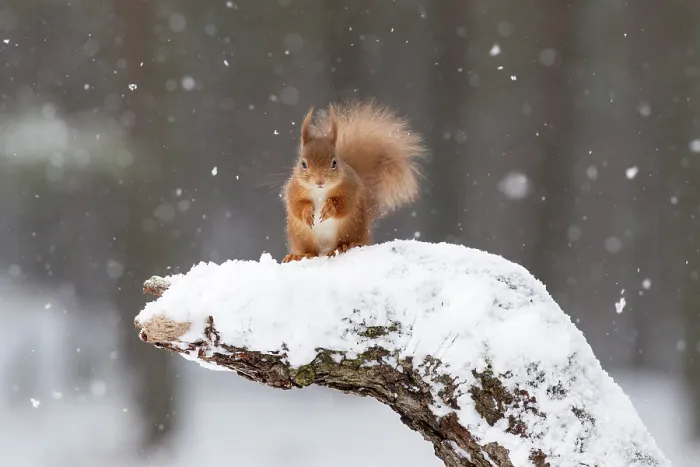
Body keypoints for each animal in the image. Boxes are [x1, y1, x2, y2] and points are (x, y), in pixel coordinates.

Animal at [281, 100, 427, 263]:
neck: (320, 192)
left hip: (351, 229)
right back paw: (299, 255)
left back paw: (343, 246)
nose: (320, 181)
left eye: (334, 162)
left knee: (349, 241)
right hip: (302, 236)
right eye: (303, 164)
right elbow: (296, 206)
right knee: (311, 252)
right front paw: (307, 213)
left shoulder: (350, 187)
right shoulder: (294, 190)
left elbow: (344, 204)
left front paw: (329, 208)